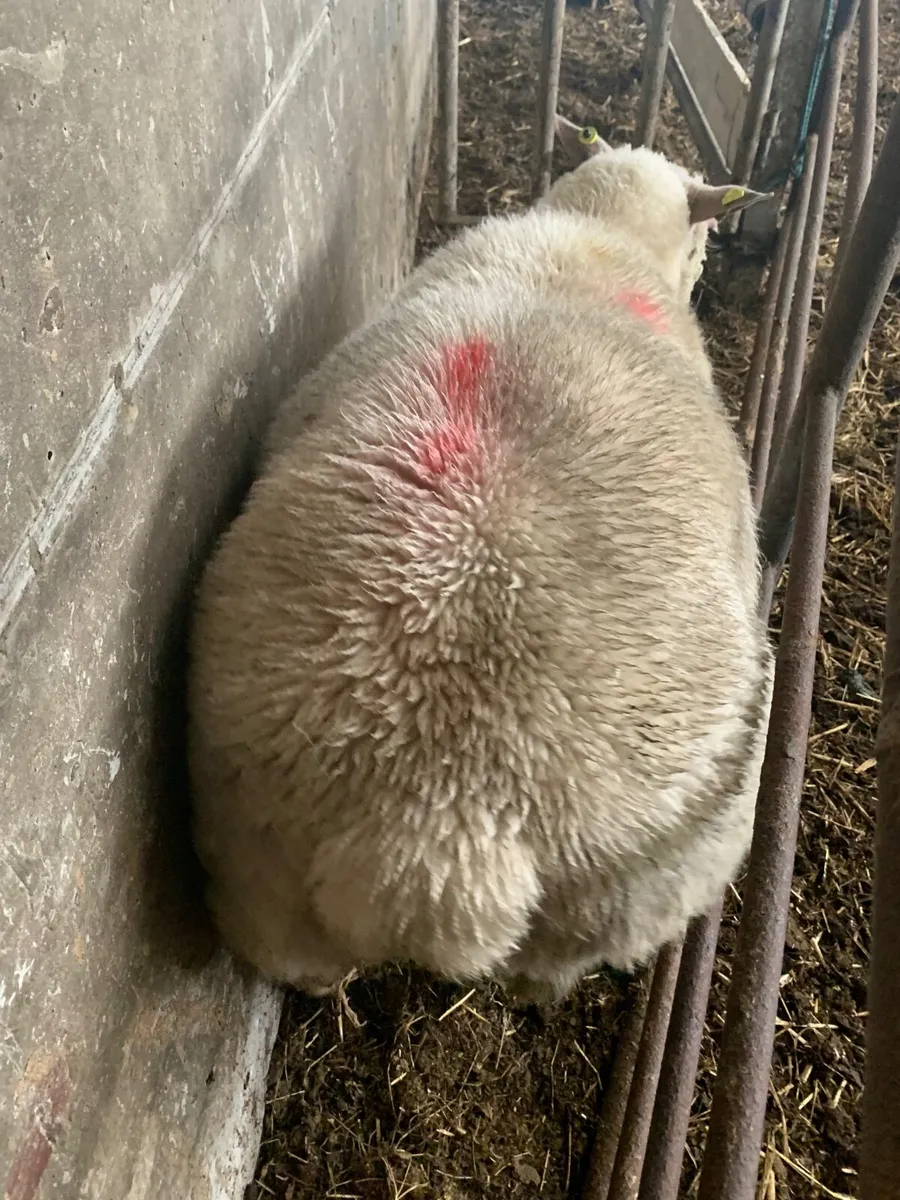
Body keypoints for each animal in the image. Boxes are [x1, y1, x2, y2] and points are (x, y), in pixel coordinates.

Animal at [187, 118, 774, 1007]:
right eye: (704, 234)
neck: (600, 235)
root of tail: (444, 823)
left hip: (256, 856)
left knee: (300, 960)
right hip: (653, 875)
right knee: (546, 972)